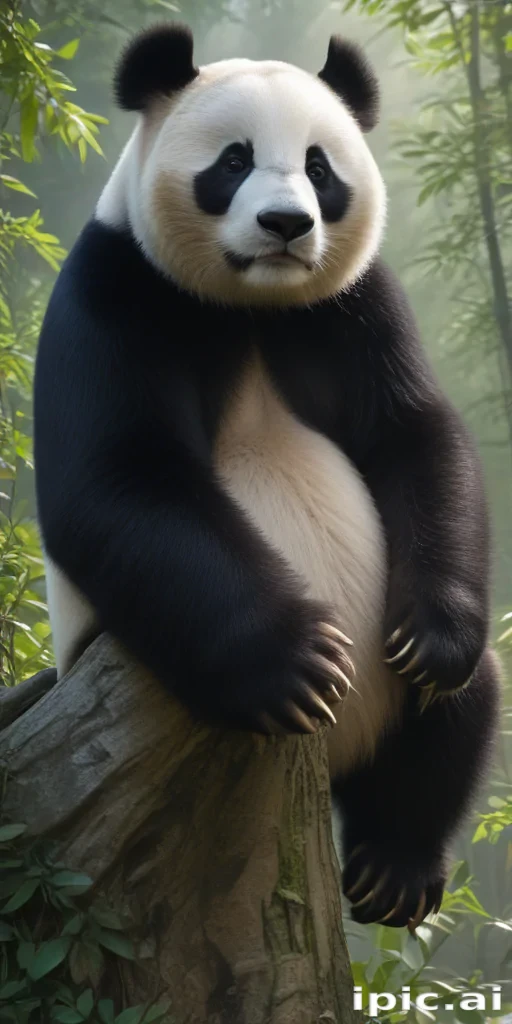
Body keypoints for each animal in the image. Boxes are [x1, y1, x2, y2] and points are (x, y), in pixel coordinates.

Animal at [33, 23, 500, 931]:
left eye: (321, 167)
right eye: (234, 161)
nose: (286, 223)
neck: (252, 306)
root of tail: (336, 761)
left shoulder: (356, 306)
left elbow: (416, 437)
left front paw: (429, 639)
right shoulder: (115, 290)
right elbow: (118, 482)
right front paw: (301, 663)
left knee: (460, 706)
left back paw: (394, 863)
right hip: (146, 660)